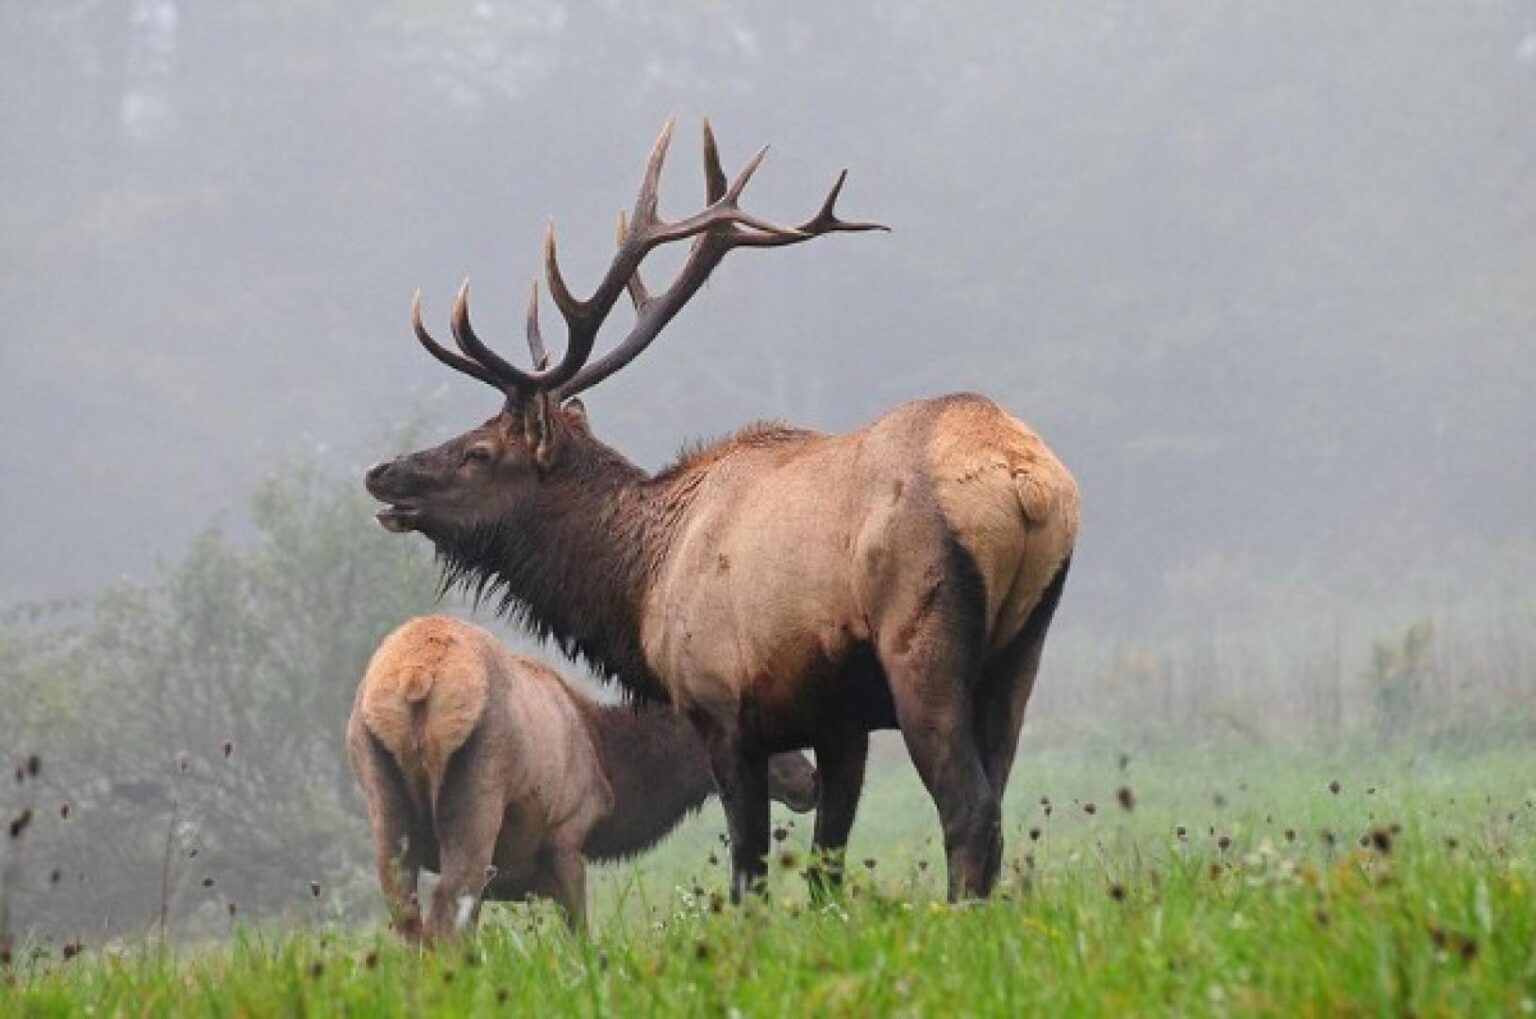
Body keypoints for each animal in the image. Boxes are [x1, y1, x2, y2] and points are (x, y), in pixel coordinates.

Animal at [346, 614, 818, 940]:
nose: (810, 781)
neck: (610, 768)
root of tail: (418, 678)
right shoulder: (567, 837)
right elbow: (580, 936)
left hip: (382, 793)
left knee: (409, 915)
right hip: (477, 793)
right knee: (446, 909)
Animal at [365, 121, 1079, 902]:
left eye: (480, 451)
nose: (382, 472)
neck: (642, 582)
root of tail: (1027, 482)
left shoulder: (722, 707)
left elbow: (749, 868)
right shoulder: (841, 723)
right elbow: (827, 862)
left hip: (922, 640)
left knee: (969, 807)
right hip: (1020, 650)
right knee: (998, 799)